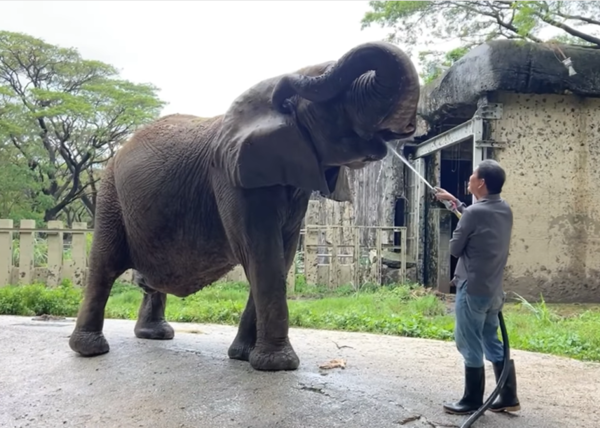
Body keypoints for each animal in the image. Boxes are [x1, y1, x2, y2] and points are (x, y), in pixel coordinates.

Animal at [68, 41, 420, 372]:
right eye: (330, 103)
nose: (286, 84)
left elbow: (282, 255)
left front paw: (243, 356)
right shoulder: (231, 178)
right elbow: (261, 254)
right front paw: (278, 366)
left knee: (144, 279)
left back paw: (155, 335)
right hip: (110, 193)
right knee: (104, 265)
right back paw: (90, 350)